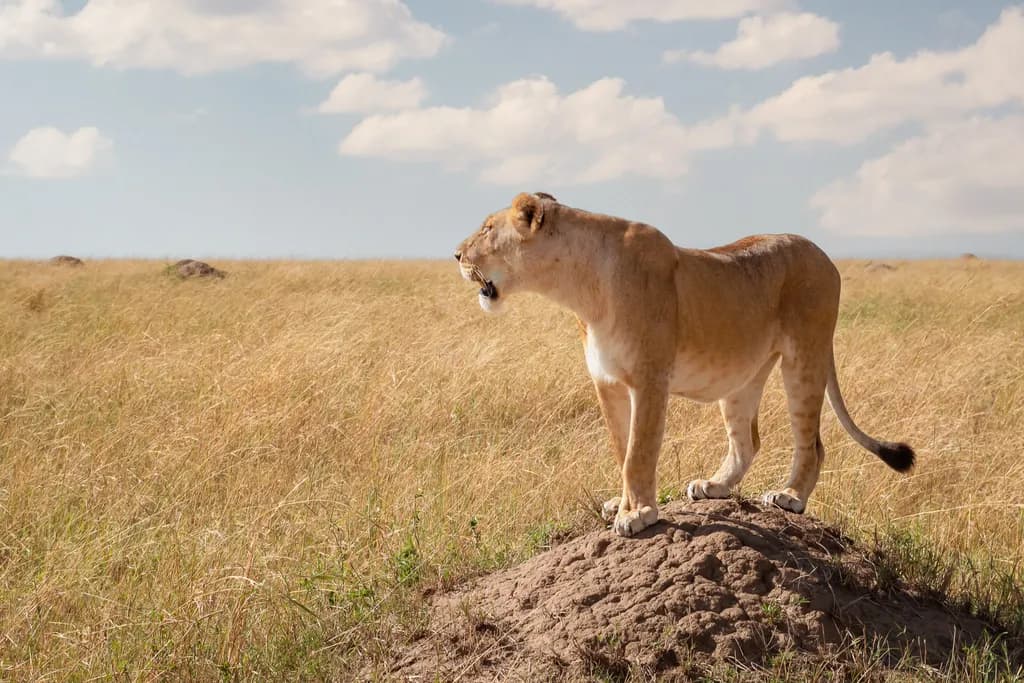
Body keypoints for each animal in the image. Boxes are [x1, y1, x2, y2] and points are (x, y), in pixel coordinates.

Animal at [455, 192, 915, 537]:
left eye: (487, 228)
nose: (456, 254)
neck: (580, 290)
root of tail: (825, 255)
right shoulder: (607, 382)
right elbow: (622, 448)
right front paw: (623, 504)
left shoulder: (649, 378)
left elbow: (639, 450)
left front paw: (638, 514)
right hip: (742, 377)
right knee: (747, 441)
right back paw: (714, 486)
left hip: (805, 355)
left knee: (812, 443)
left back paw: (790, 497)